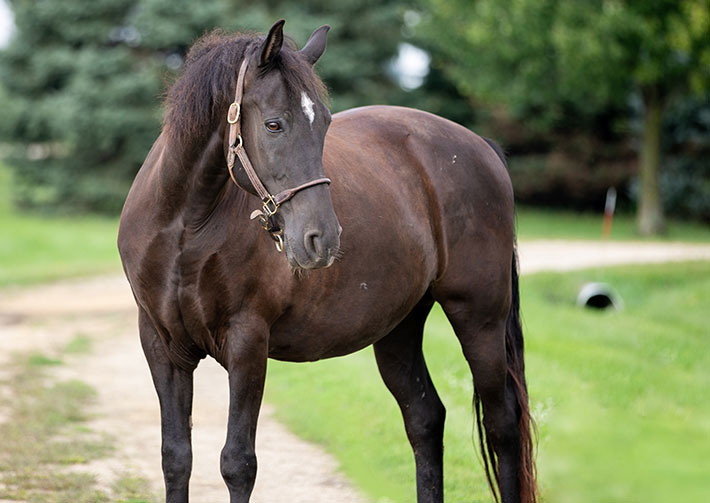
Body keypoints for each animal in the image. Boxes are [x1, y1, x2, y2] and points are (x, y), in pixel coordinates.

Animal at [117, 20, 537, 503]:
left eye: (325, 124)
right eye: (274, 124)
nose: (322, 239)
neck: (186, 227)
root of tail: (481, 147)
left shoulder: (247, 342)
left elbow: (237, 463)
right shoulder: (162, 346)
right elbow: (176, 458)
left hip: (479, 318)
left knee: (502, 425)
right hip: (399, 328)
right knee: (425, 419)